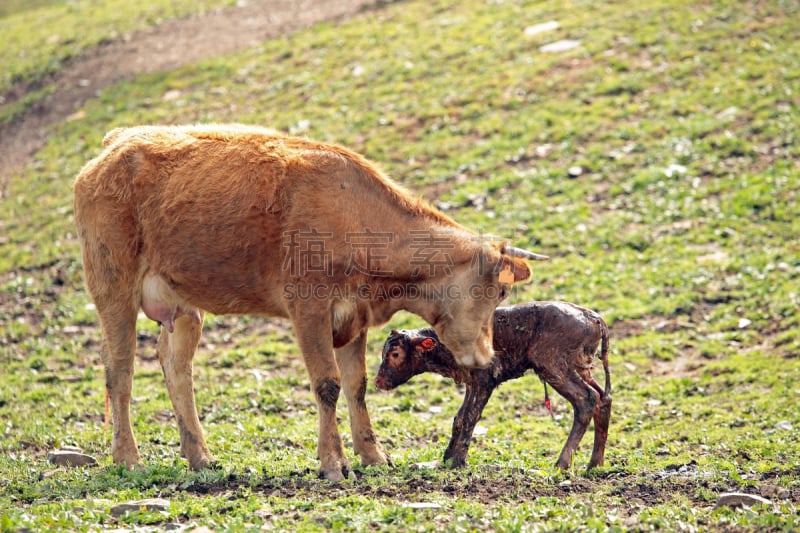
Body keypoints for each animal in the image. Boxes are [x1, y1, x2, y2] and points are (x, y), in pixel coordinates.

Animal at [73, 123, 552, 478]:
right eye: (500, 290)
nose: (487, 358)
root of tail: (118, 142)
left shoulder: (354, 317)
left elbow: (357, 385)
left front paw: (372, 455)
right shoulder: (309, 309)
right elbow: (327, 384)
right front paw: (333, 462)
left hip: (184, 305)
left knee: (176, 369)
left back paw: (200, 457)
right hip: (113, 287)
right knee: (119, 371)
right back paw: (128, 458)